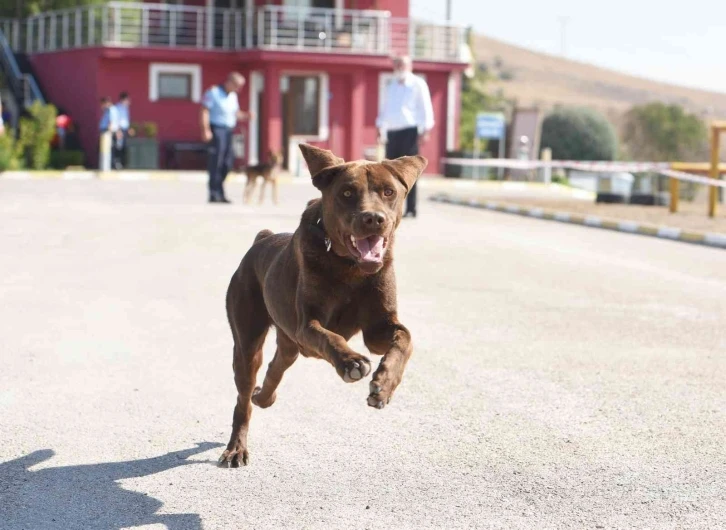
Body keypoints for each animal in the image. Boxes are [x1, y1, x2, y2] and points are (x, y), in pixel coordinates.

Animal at [219, 141, 430, 466]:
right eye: (347, 193)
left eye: (388, 192)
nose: (373, 218)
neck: (351, 268)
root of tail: (261, 240)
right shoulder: (308, 325)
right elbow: (329, 337)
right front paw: (351, 362)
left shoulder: (378, 328)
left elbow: (404, 339)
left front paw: (384, 385)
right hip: (248, 338)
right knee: (244, 397)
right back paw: (236, 447)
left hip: (288, 342)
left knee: (276, 367)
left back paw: (264, 396)